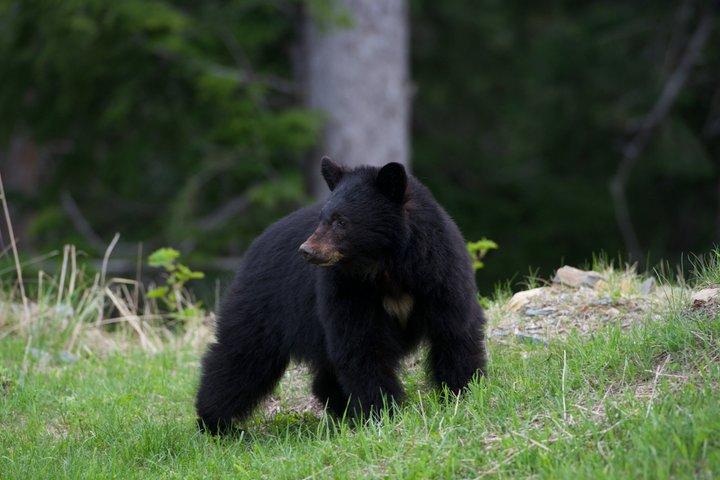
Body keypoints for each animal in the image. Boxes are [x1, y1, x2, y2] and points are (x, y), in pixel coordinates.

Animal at [195, 158, 486, 434]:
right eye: (322, 219)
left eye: (341, 221)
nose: (307, 250)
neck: (385, 266)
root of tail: (254, 246)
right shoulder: (346, 289)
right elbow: (361, 345)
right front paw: (382, 411)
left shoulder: (438, 273)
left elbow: (453, 331)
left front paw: (462, 392)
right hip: (265, 307)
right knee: (240, 359)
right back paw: (216, 423)